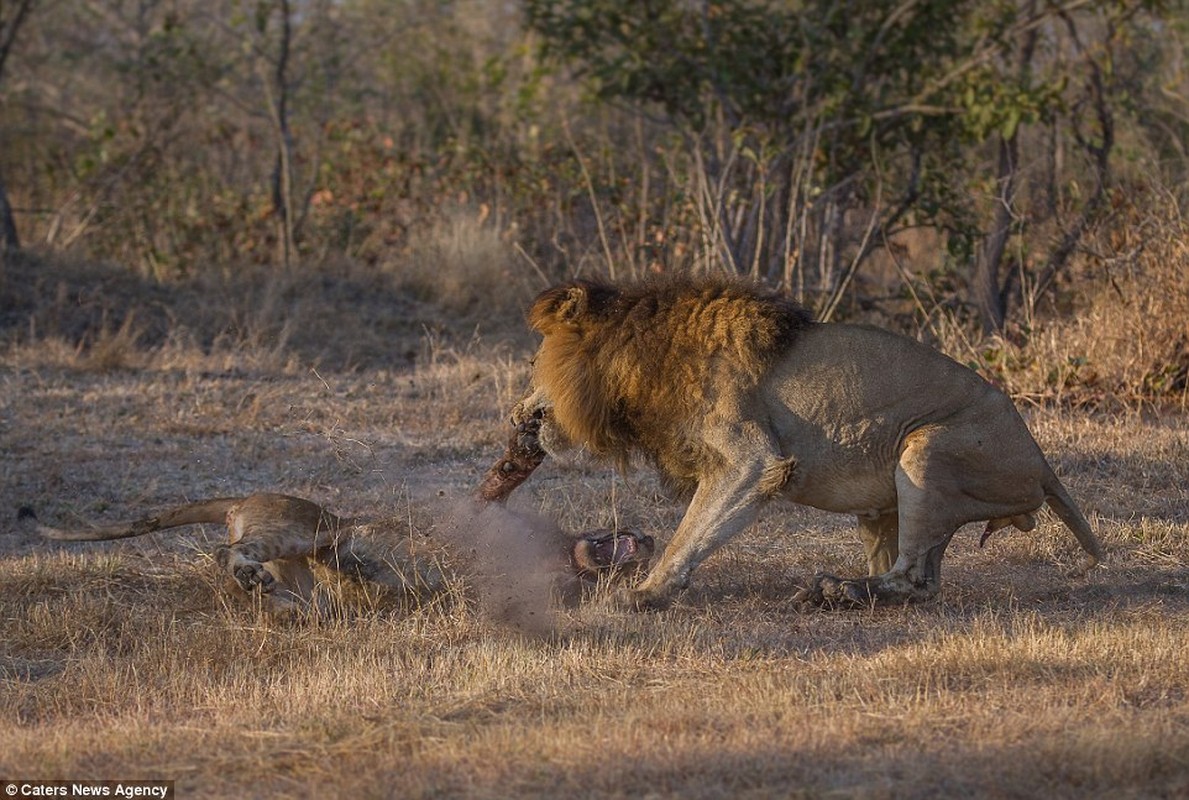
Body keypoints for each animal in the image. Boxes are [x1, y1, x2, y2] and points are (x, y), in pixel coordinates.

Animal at [511, 275, 1103, 613]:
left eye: (535, 359)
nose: (515, 415)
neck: (635, 365)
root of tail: (1042, 462)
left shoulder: (752, 460)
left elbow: (690, 532)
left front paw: (648, 592)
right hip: (891, 496)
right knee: (914, 571)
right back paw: (840, 589)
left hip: (926, 447)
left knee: (915, 580)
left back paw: (834, 592)